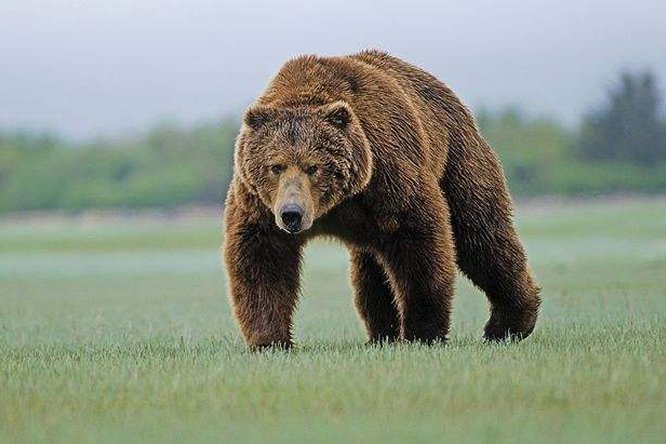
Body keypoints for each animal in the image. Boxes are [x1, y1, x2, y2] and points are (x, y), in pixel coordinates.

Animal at [223, 50, 541, 349]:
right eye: (276, 166)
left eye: (313, 167)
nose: (292, 213)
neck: (335, 205)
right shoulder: (259, 204)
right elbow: (262, 258)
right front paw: (270, 340)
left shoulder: (388, 174)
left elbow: (419, 242)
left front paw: (422, 332)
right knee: (371, 270)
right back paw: (382, 333)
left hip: (457, 158)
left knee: (481, 234)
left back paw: (509, 323)